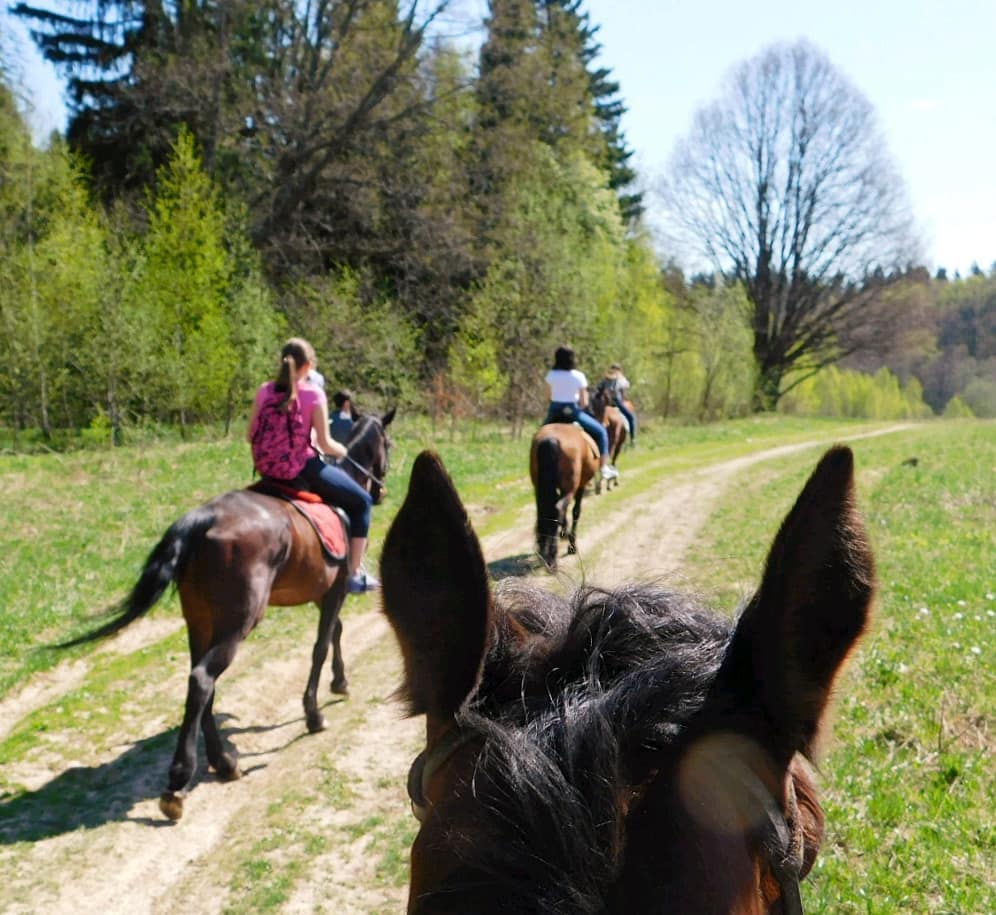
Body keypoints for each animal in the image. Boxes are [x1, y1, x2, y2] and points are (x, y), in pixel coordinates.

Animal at [62, 410, 394, 824]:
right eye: (388, 444)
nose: (380, 492)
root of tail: (202, 518)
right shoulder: (334, 591)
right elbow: (321, 644)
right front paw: (314, 713)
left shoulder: (323, 593)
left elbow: (335, 632)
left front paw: (340, 682)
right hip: (237, 622)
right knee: (204, 679)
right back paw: (180, 780)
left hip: (201, 620)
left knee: (199, 682)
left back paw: (222, 762)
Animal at [528, 420, 600, 564]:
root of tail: (550, 440)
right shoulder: (580, 486)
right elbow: (576, 512)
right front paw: (572, 546)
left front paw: (564, 533)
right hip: (569, 488)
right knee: (558, 509)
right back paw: (552, 557)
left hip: (540, 488)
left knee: (545, 511)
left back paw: (544, 552)